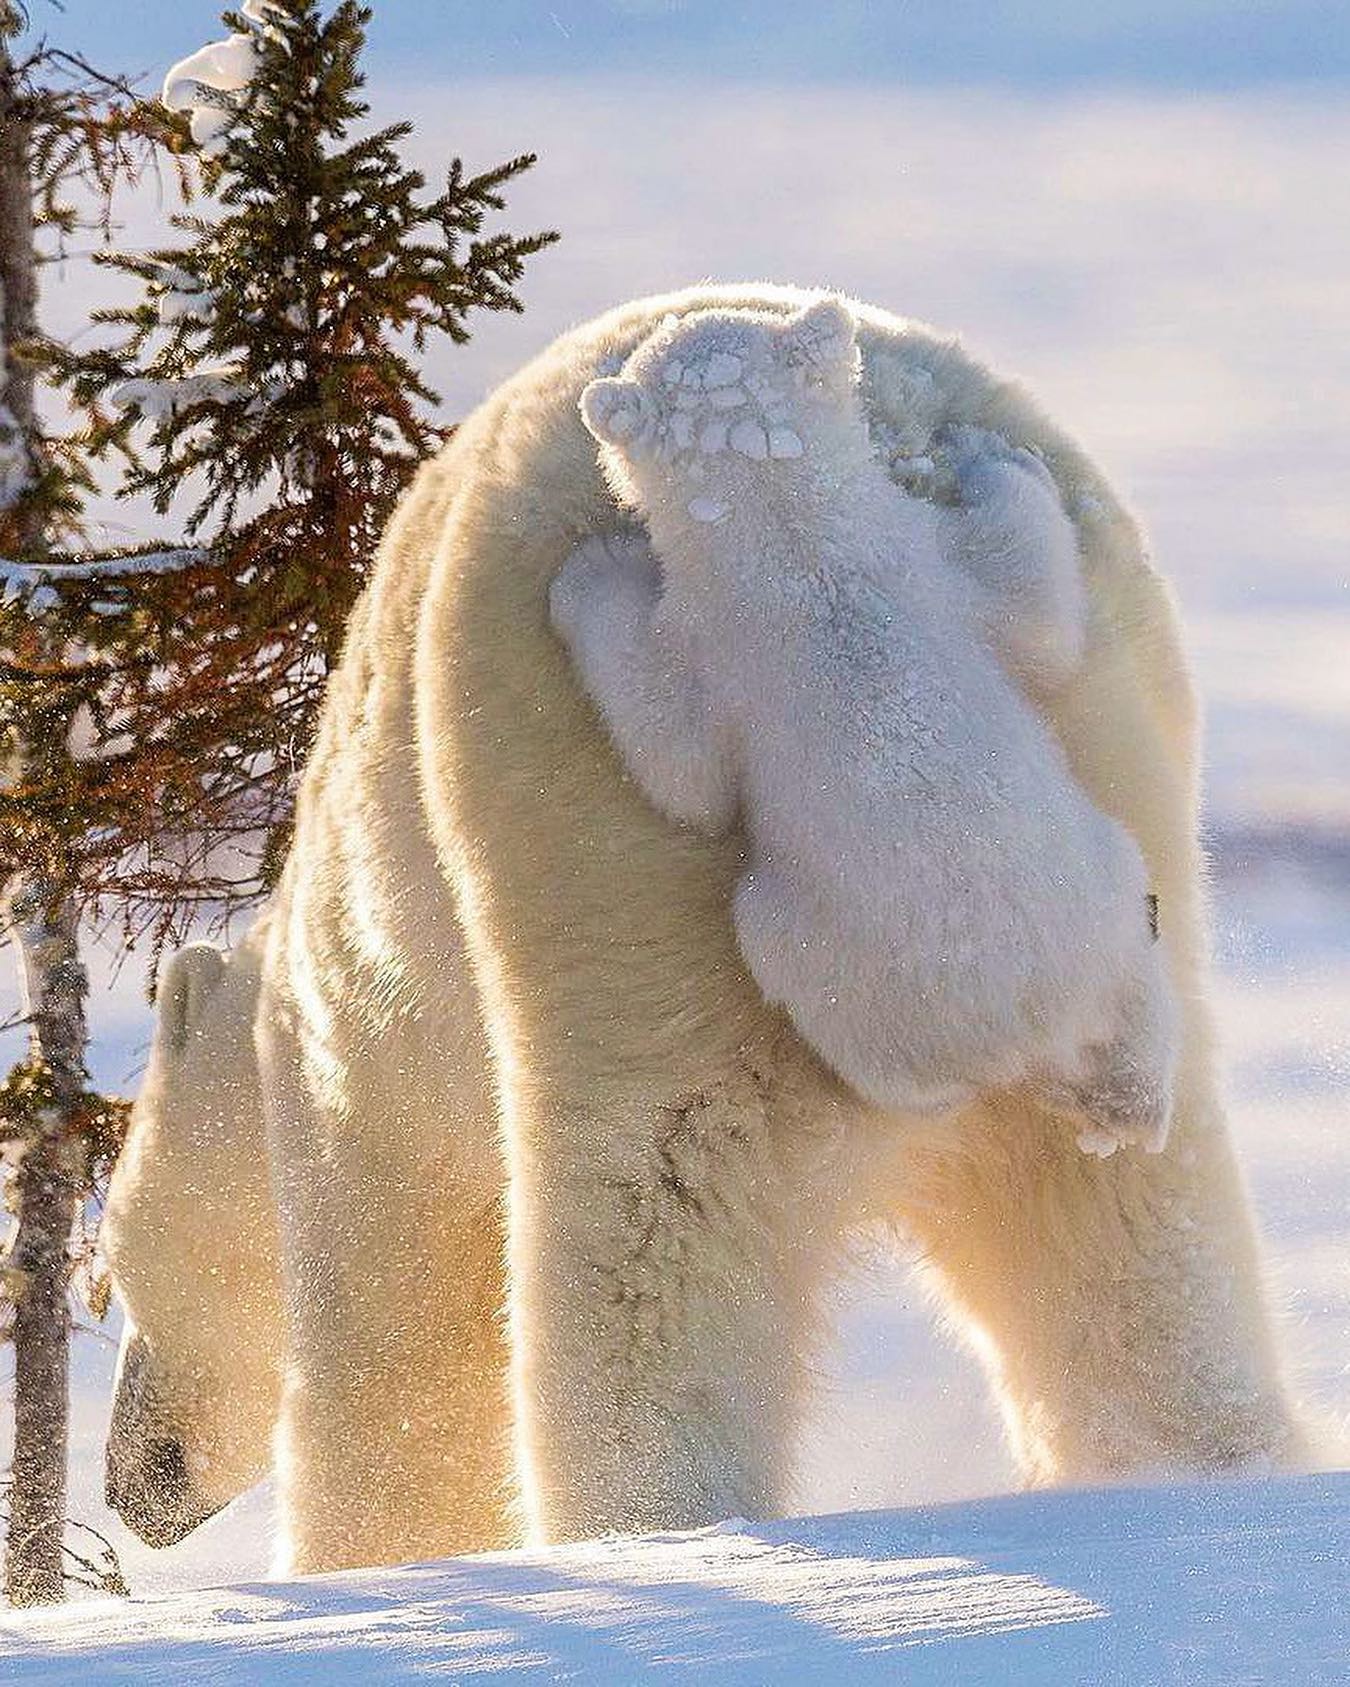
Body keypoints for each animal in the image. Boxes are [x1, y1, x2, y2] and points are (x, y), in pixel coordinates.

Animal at [554, 298, 1175, 1152]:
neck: (799, 542)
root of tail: (1029, 1027)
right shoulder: (912, 570)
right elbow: (1035, 614)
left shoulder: (748, 628)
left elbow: (685, 770)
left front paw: (592, 567)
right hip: (1088, 912)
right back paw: (1135, 1103)